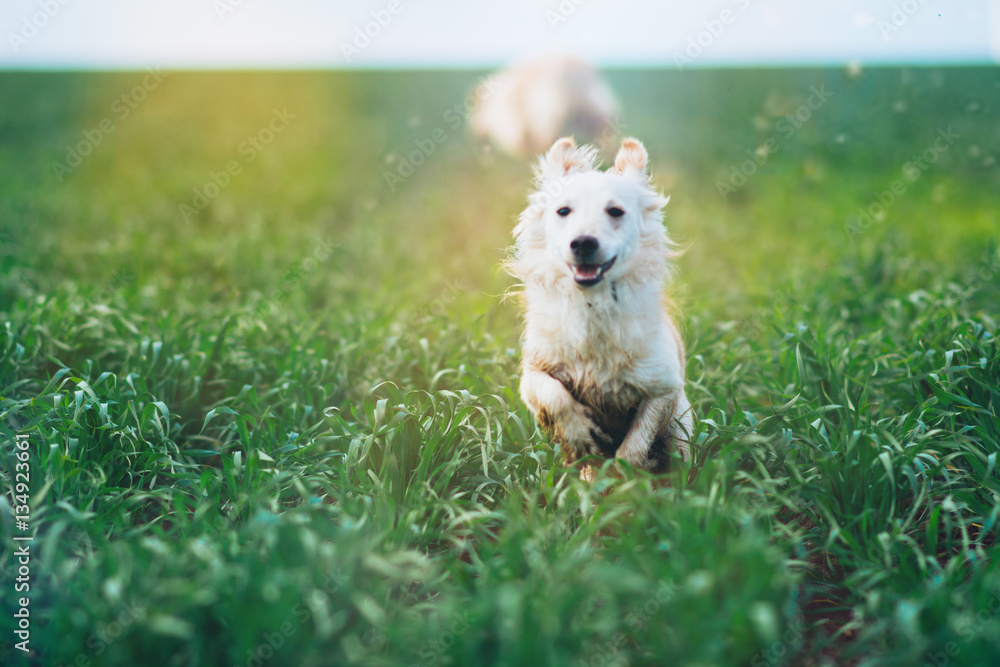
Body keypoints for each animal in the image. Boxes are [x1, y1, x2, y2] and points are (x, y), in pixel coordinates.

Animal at [468, 55, 616, 158]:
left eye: (475, 108)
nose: (475, 134)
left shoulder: (514, 123)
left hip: (551, 115)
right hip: (600, 112)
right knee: (605, 135)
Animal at [512, 138, 692, 478]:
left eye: (615, 211)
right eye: (563, 211)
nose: (583, 242)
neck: (593, 303)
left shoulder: (663, 388)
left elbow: (635, 445)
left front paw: (625, 477)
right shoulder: (533, 374)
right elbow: (553, 395)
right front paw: (578, 436)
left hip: (683, 428)